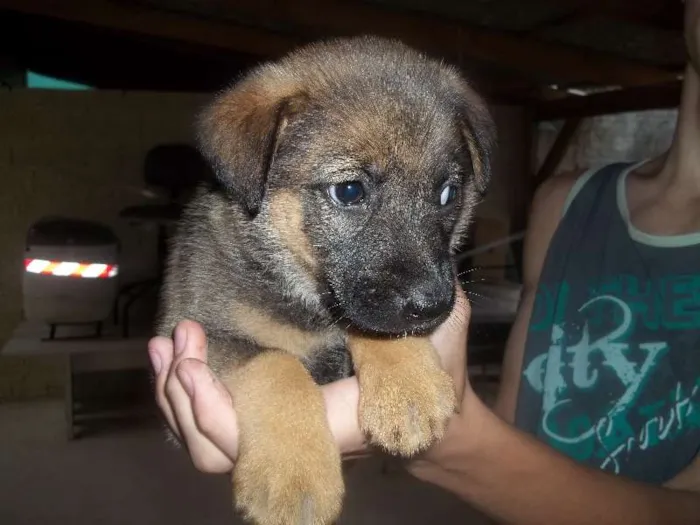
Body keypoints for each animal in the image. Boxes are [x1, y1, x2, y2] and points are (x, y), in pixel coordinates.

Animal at [159, 35, 498, 524]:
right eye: (350, 190)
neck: (304, 301)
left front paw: (410, 387)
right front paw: (292, 477)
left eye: (447, 193)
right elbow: (275, 365)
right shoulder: (201, 330)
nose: (433, 305)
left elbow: (376, 327)